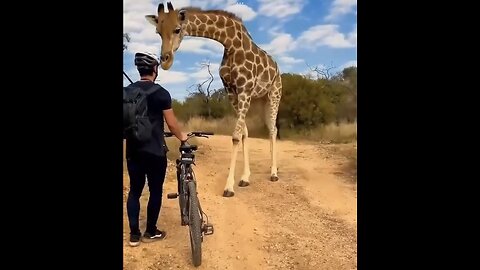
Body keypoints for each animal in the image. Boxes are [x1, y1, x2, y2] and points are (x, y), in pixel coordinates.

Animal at [146, 1, 282, 197]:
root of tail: (277, 69)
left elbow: (235, 136)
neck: (231, 43)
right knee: (260, 128)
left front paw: (228, 187)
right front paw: (244, 178)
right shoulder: (232, 92)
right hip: (259, 100)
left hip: (274, 94)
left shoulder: (244, 89)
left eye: (177, 29)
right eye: (158, 31)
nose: (165, 61)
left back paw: (274, 174)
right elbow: (243, 133)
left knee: (273, 129)